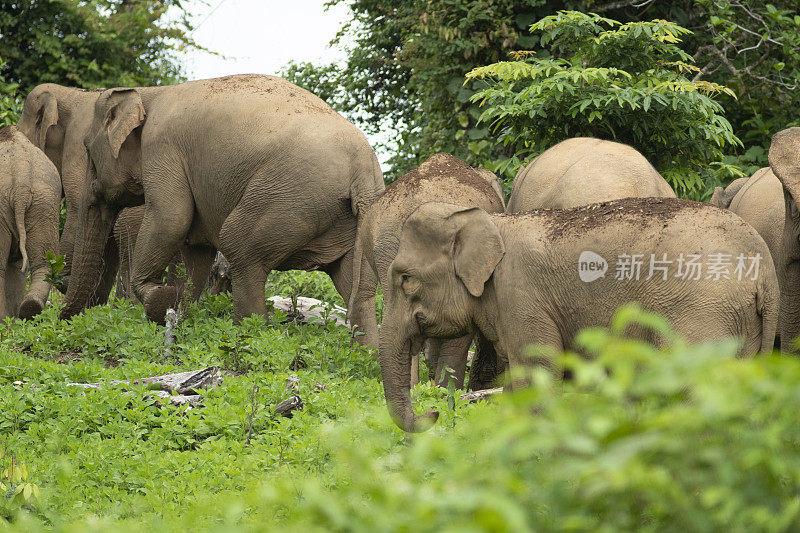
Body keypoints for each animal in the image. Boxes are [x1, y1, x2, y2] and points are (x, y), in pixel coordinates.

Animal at [61, 72, 386, 344]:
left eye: (87, 148)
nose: (63, 319)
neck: (150, 91)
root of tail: (364, 170)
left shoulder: (161, 147)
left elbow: (170, 218)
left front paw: (159, 300)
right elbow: (196, 251)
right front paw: (181, 316)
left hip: (292, 194)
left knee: (240, 247)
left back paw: (250, 338)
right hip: (346, 217)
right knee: (353, 284)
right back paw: (366, 354)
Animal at [380, 197, 776, 430]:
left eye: (406, 278)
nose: (434, 413)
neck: (493, 222)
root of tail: (765, 269)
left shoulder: (521, 294)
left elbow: (537, 376)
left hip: (702, 314)